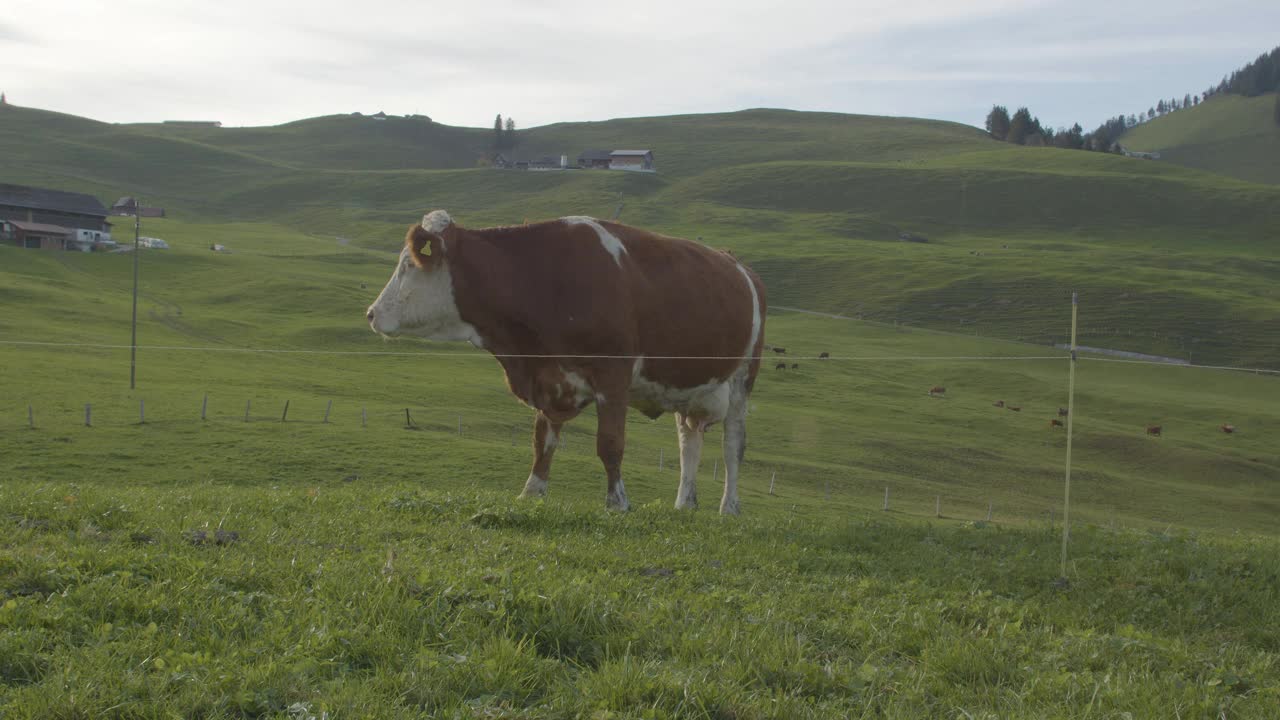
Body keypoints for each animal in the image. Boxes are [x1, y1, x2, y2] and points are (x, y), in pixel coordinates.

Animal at [371, 210, 768, 512]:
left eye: (407, 265)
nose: (372, 314)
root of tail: (740, 266)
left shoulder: (613, 374)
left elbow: (610, 443)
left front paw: (617, 502)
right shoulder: (549, 377)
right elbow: (542, 440)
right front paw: (531, 491)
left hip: (742, 380)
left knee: (733, 446)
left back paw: (729, 507)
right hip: (687, 389)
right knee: (689, 442)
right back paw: (684, 504)